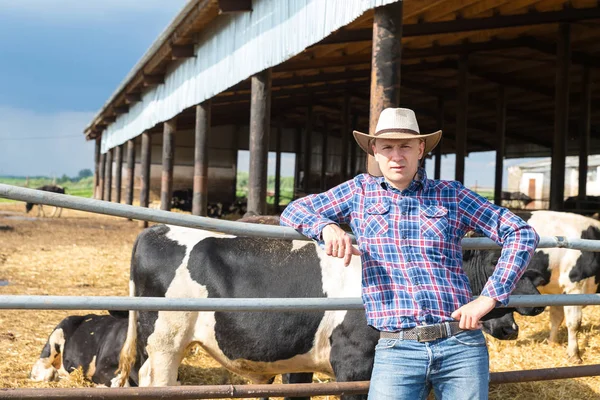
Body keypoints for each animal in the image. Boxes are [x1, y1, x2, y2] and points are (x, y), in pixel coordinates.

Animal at [115, 223, 548, 396]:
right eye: (493, 261)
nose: (533, 307)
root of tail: (156, 229)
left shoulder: (301, 362)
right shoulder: (354, 364)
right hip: (165, 342)